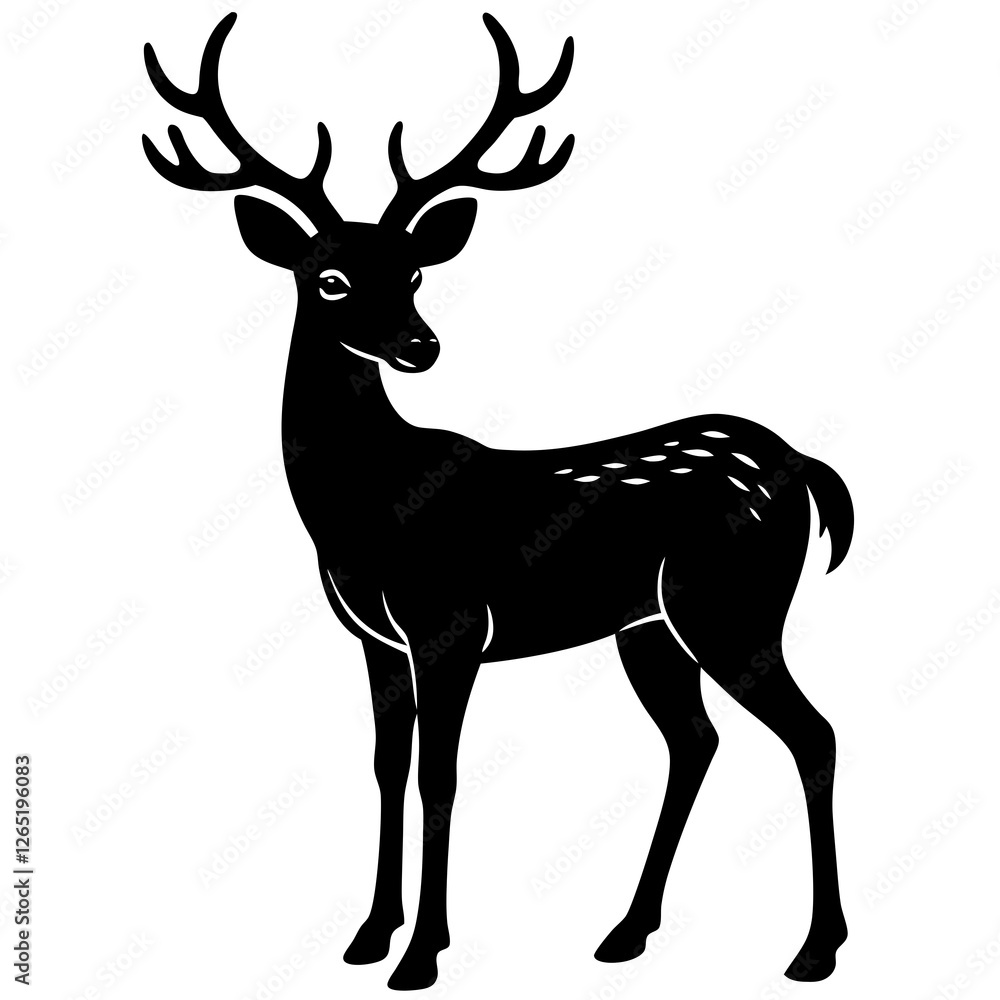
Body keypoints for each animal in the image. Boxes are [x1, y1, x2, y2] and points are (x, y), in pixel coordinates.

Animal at [142, 12, 852, 991]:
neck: (364, 509)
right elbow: (385, 766)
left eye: (415, 273)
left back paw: (815, 949)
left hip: (731, 603)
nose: (419, 345)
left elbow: (438, 776)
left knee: (812, 734)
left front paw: (421, 955)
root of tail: (806, 465)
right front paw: (368, 935)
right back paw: (627, 931)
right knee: (696, 741)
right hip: (649, 627)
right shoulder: (375, 638)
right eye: (329, 277)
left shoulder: (449, 623)